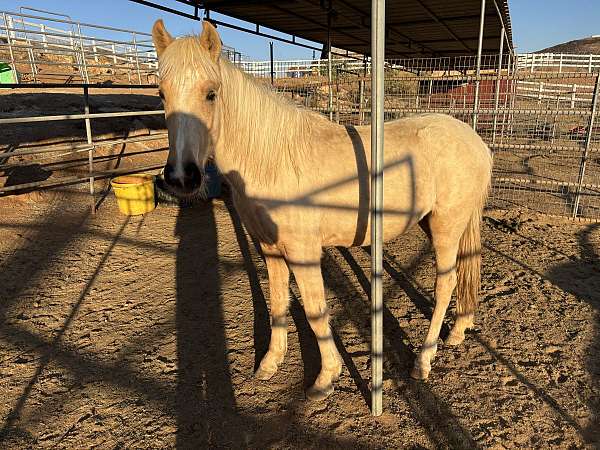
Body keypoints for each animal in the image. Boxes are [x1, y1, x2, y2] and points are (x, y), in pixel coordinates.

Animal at [151, 20, 492, 400]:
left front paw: (326, 377)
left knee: (446, 283)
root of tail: (474, 140)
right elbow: (279, 303)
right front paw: (269, 363)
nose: (181, 177)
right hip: (439, 224)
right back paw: (459, 331)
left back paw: (423, 361)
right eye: (162, 94)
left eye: (211, 93)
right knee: (465, 269)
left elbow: (316, 311)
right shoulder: (270, 249)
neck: (272, 158)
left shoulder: (303, 252)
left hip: (447, 226)